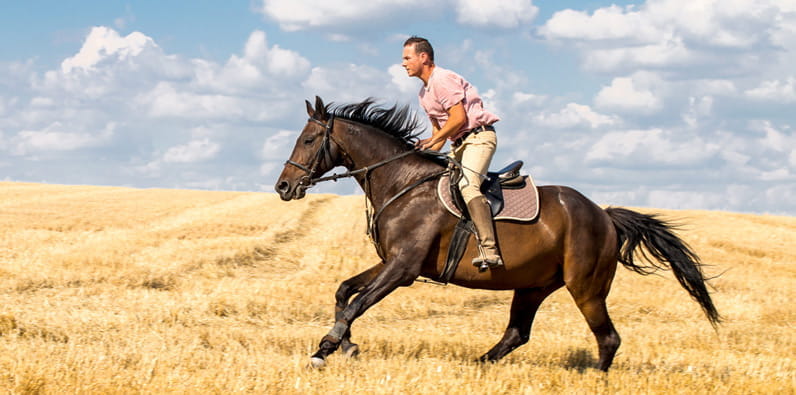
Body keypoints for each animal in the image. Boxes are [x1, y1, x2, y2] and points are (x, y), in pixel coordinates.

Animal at [276, 96, 720, 372]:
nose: (283, 187)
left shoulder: (403, 268)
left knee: (608, 338)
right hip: (533, 285)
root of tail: (604, 215)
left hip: (586, 287)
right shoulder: (392, 262)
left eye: (309, 139)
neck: (401, 183)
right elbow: (344, 292)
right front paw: (347, 344)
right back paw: (480, 364)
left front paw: (326, 348)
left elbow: (357, 304)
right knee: (517, 333)